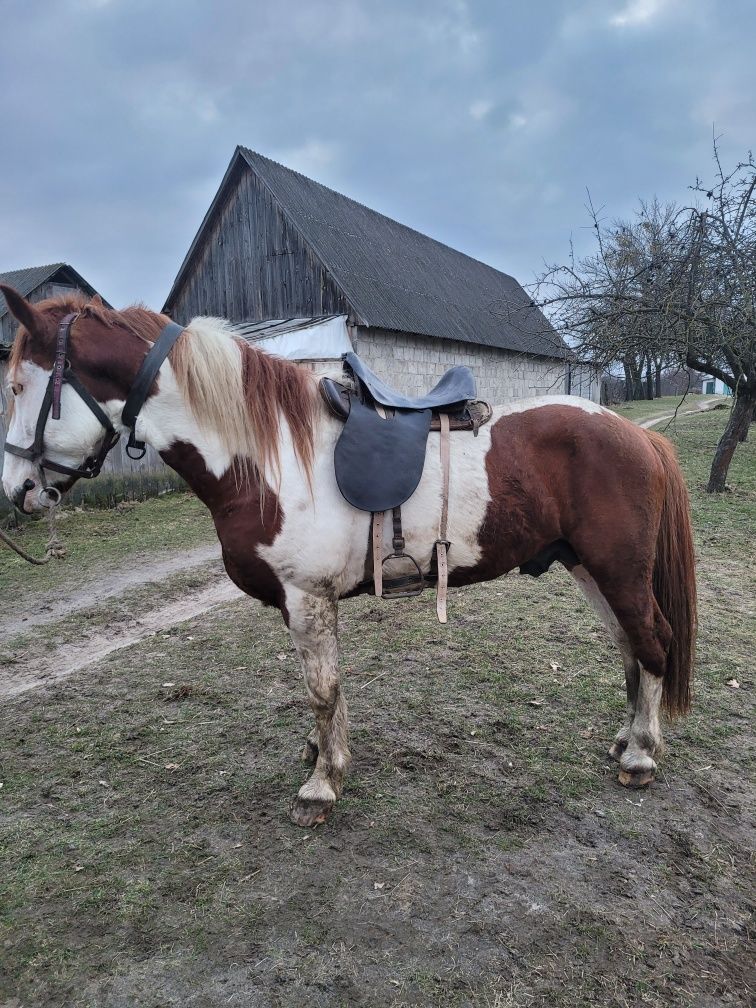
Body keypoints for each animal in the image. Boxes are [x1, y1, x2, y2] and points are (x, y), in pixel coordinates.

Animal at [0, 286, 697, 826]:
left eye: (16, 385)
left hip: (618, 570)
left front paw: (322, 785)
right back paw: (626, 740)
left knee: (652, 641)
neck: (269, 457)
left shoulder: (308, 597)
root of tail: (637, 435)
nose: (19, 492)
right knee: (629, 645)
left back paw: (641, 755)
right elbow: (320, 690)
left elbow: (323, 687)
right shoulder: (300, 605)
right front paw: (319, 753)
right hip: (588, 568)